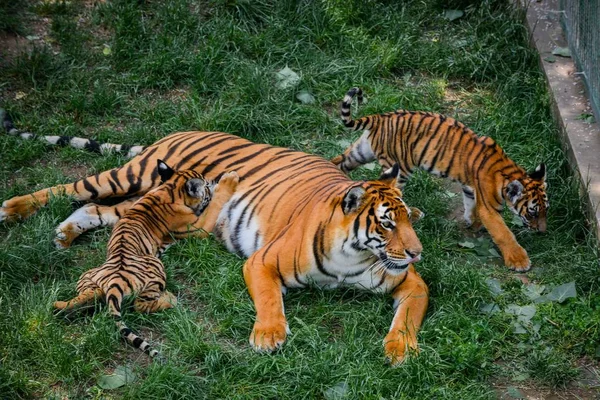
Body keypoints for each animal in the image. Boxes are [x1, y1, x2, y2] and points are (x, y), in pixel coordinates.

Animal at [54, 161, 240, 358]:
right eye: (205, 186)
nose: (211, 183)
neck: (170, 189)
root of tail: (115, 282)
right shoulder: (199, 226)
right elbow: (215, 205)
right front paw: (229, 180)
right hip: (156, 268)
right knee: (140, 305)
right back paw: (170, 299)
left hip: (87, 275)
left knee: (92, 294)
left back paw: (59, 305)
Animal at [332, 88, 548, 272]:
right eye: (532, 213)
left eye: (546, 210)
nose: (543, 232)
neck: (509, 172)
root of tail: (380, 117)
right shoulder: (490, 209)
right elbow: (504, 233)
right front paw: (519, 260)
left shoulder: (470, 187)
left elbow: (469, 203)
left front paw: (472, 222)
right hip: (399, 168)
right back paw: (413, 213)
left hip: (361, 152)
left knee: (340, 163)